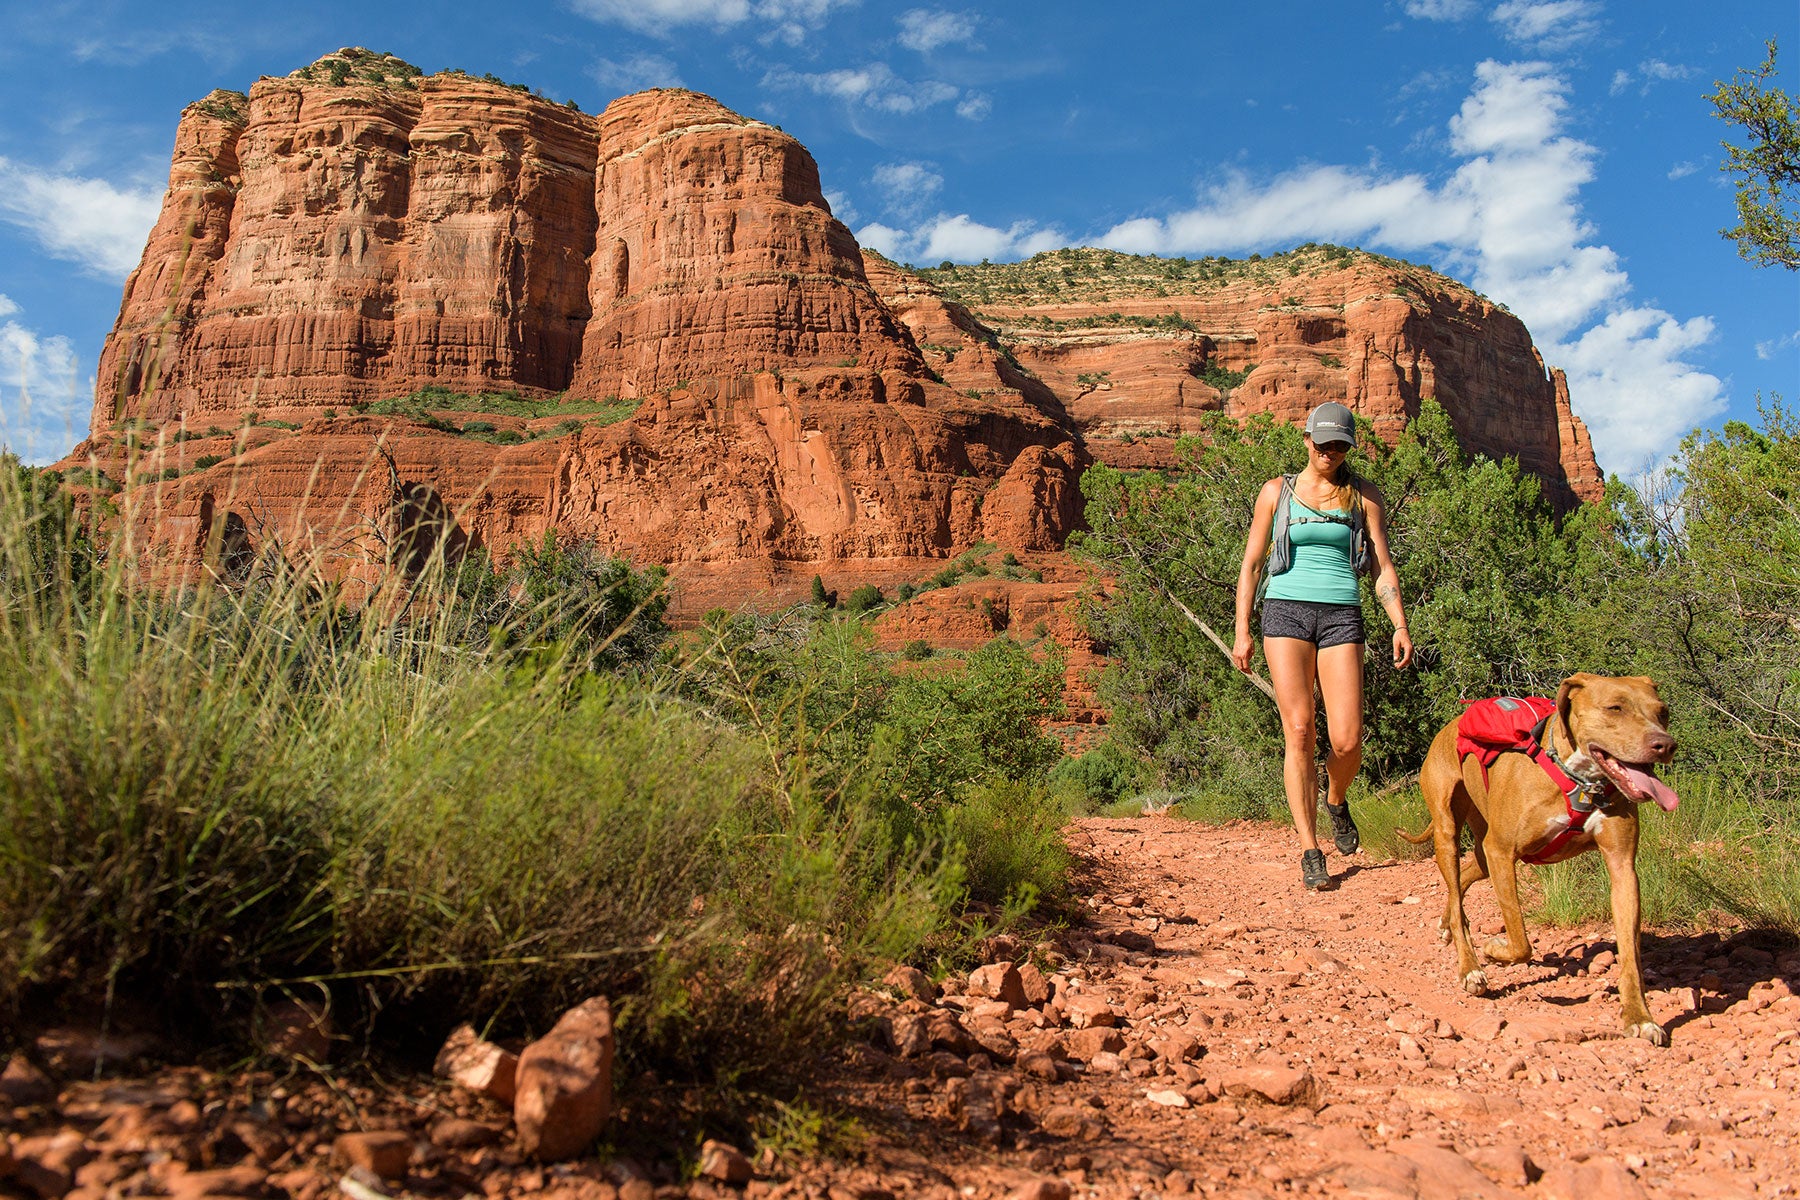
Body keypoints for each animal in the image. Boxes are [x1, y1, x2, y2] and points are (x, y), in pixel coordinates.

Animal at [1411, 676, 1677, 1043]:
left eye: (1662, 712)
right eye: (1615, 708)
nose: (1665, 745)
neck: (1579, 782)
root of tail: (1449, 727)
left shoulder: (1623, 868)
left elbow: (1630, 955)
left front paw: (1640, 1017)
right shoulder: (1501, 851)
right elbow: (1521, 940)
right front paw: (1494, 950)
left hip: (1481, 850)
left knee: (1461, 882)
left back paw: (1448, 923)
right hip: (1448, 831)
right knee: (1454, 877)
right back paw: (1470, 968)